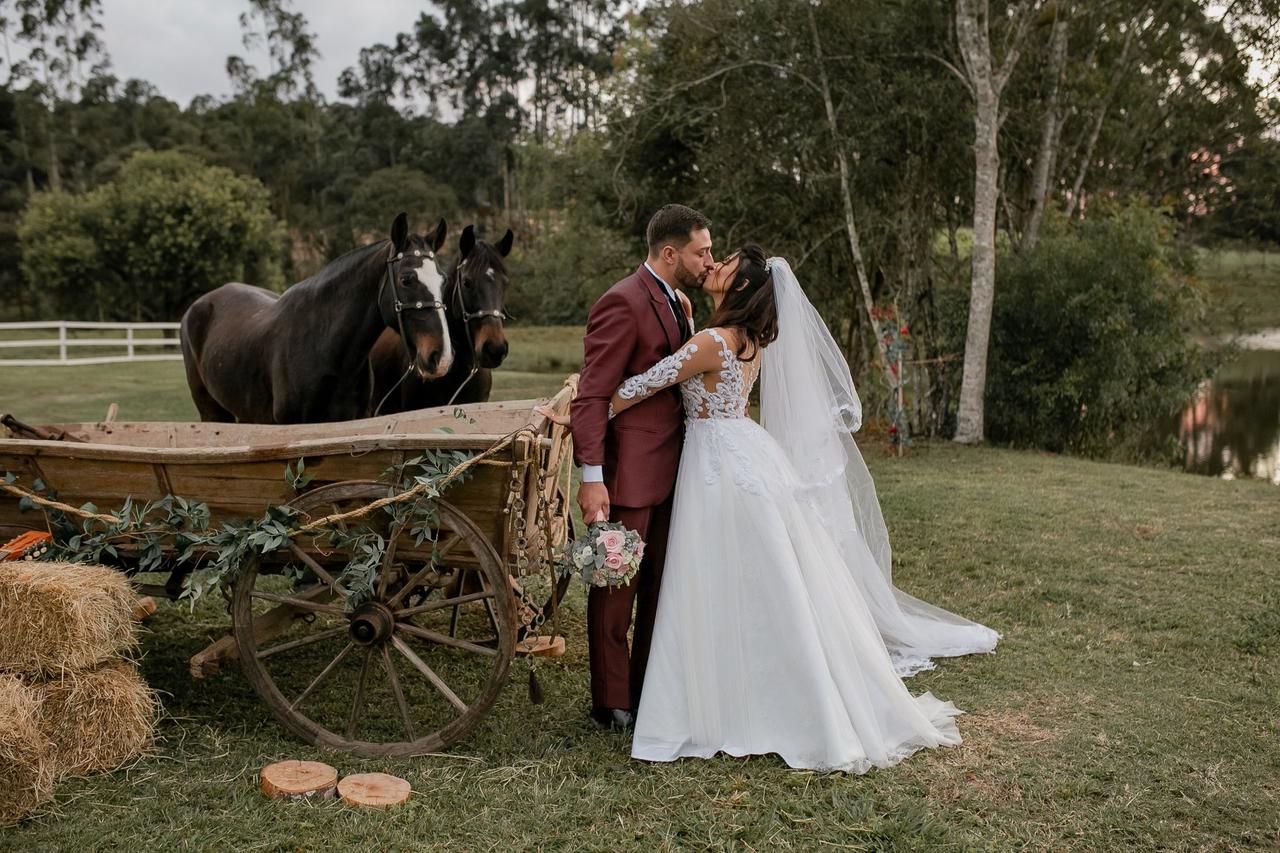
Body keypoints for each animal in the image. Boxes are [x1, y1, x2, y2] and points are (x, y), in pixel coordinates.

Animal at [183, 213, 453, 422]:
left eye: (443, 280)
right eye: (407, 279)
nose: (440, 357)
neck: (326, 349)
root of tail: (197, 306)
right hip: (212, 412)